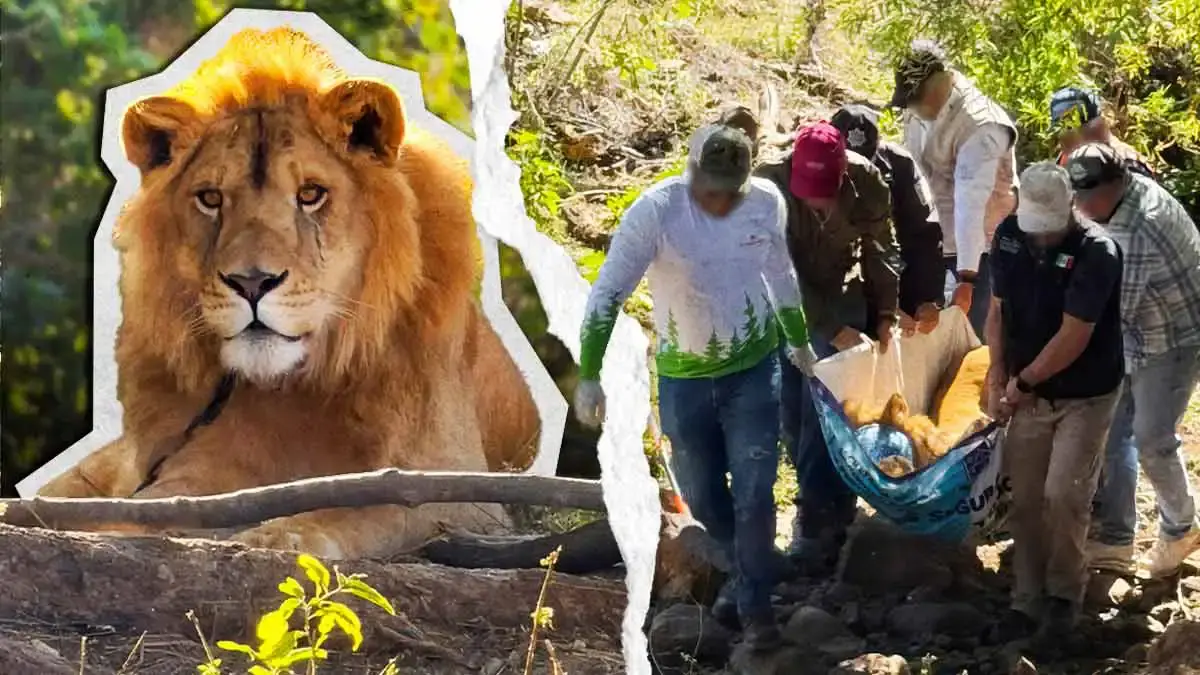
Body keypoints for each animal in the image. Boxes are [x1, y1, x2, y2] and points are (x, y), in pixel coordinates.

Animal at [36, 27, 542, 560]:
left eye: (310, 194)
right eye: (210, 198)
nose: (252, 283)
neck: (297, 383)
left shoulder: (467, 492)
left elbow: (373, 507)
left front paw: (280, 534)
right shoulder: (195, 471)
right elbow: (145, 509)